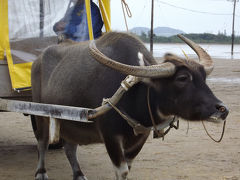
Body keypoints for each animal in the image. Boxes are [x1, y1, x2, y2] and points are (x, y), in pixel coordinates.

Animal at [31, 32, 229, 180]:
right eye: (182, 78)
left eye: (204, 77)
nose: (222, 110)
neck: (134, 93)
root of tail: (38, 59)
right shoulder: (110, 137)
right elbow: (122, 171)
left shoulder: (140, 137)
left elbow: (128, 168)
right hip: (41, 115)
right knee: (42, 142)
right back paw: (41, 172)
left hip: (71, 123)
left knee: (70, 147)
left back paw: (79, 174)